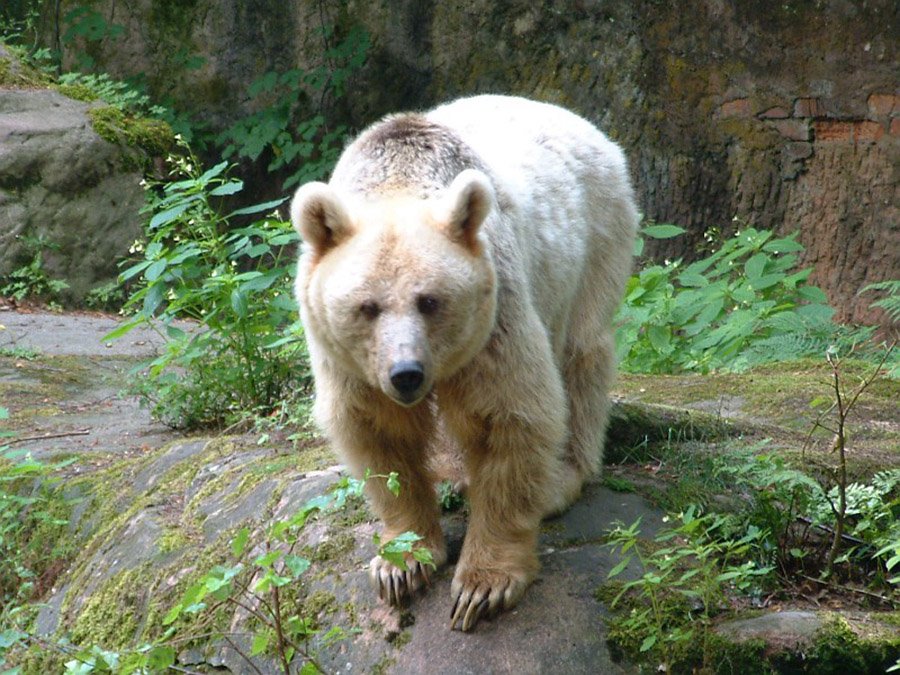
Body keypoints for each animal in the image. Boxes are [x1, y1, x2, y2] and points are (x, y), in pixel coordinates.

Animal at [292, 92, 636, 632]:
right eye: (367, 306)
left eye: (430, 300)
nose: (405, 374)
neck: (397, 177)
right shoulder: (347, 360)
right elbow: (378, 433)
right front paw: (401, 563)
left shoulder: (495, 317)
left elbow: (509, 419)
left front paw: (483, 586)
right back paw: (454, 475)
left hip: (593, 244)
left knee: (582, 356)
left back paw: (562, 477)